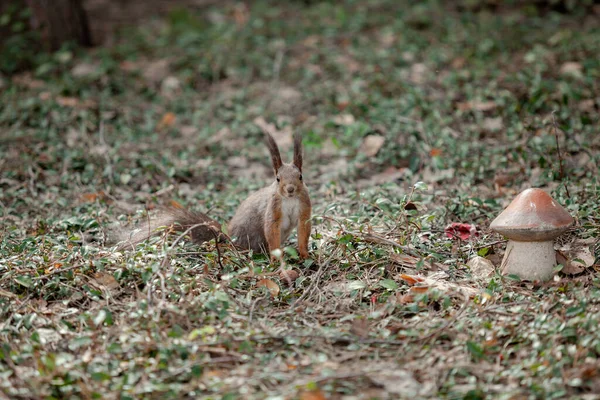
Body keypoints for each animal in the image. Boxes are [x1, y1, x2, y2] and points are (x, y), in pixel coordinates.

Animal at [118, 131, 314, 260]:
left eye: (300, 176)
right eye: (278, 178)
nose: (290, 189)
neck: (289, 200)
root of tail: (228, 235)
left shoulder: (304, 206)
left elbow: (303, 230)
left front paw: (304, 253)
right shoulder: (273, 208)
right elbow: (271, 228)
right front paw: (276, 258)